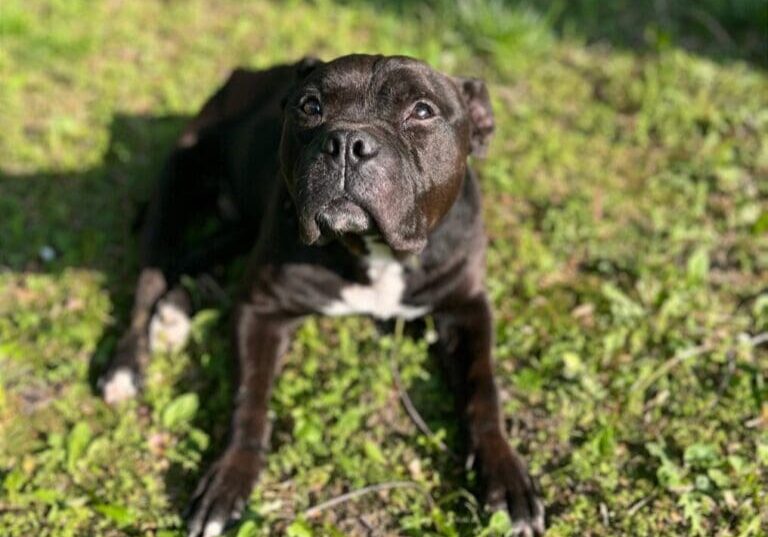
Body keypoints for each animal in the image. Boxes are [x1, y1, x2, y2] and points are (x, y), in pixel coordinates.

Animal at [99, 54, 544, 536]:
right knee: (151, 279)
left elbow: (484, 388)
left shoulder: (467, 308)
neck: (375, 249)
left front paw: (506, 475)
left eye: (422, 111)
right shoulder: (261, 308)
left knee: (196, 256)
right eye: (310, 106)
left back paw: (176, 312)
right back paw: (126, 365)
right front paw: (229, 478)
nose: (347, 142)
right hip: (176, 190)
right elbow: (249, 398)